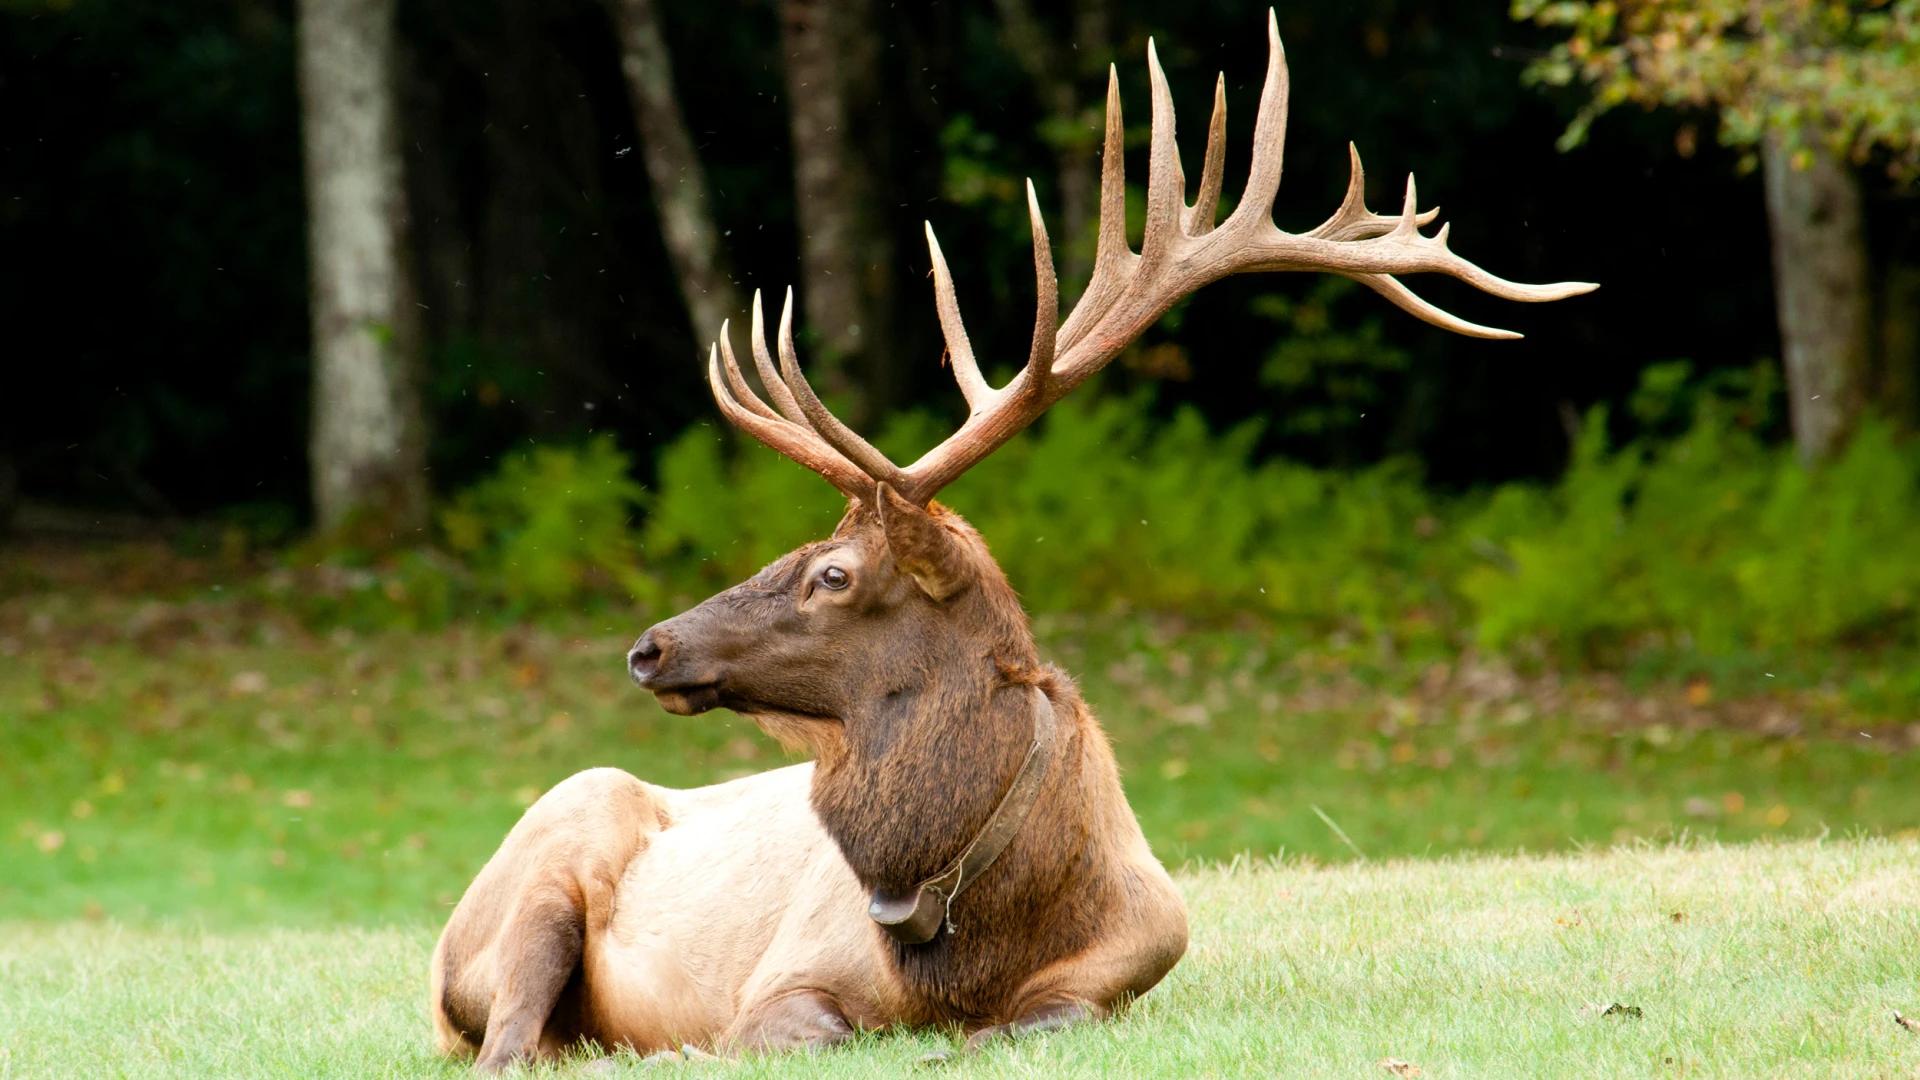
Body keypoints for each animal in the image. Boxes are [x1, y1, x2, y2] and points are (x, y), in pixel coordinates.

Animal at [432, 10, 1589, 1068]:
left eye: (833, 574)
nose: (651, 645)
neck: (982, 931)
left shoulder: (1129, 967)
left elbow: (1032, 1022)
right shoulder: (781, 981)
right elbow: (812, 1032)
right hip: (543, 863)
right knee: (511, 1043)